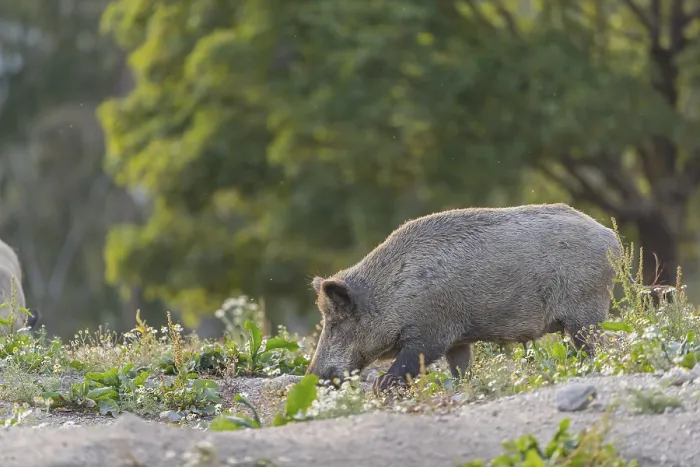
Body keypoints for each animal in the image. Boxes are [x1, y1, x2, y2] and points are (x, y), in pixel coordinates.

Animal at [305, 203, 620, 394]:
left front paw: (380, 388)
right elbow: (461, 369)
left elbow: (405, 366)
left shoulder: (429, 332)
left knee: (598, 346)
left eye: (336, 323)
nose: (313, 377)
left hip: (585, 311)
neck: (392, 294)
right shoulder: (457, 341)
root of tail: (611, 238)